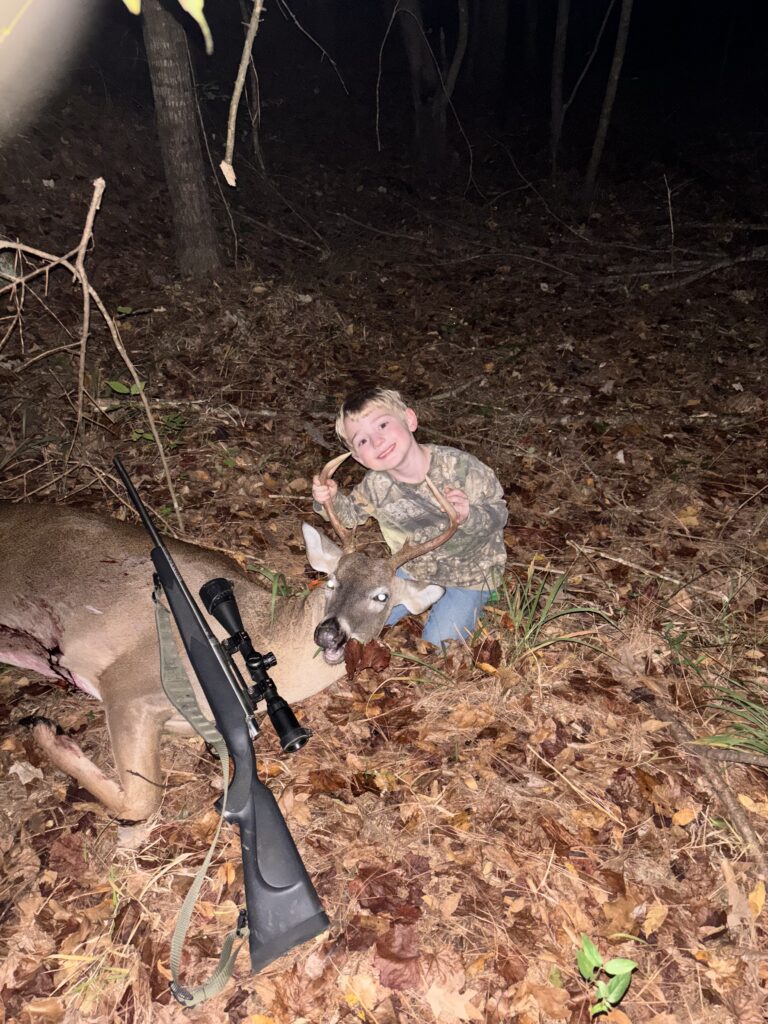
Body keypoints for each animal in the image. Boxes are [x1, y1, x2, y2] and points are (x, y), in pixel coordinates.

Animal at [0, 453, 458, 823]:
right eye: (331, 581)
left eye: (381, 596)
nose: (328, 632)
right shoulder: (128, 682)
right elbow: (141, 802)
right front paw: (45, 729)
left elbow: (144, 797)